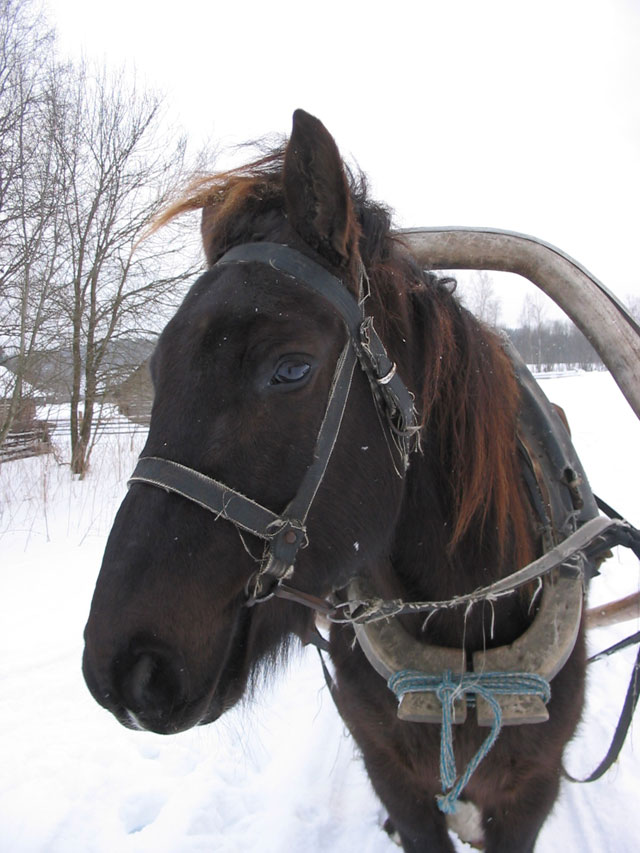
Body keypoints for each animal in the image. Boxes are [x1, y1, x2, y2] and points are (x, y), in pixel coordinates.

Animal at [84, 110, 596, 848]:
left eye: (291, 368)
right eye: (156, 370)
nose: (125, 664)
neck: (461, 658)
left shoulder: (530, 793)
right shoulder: (395, 777)